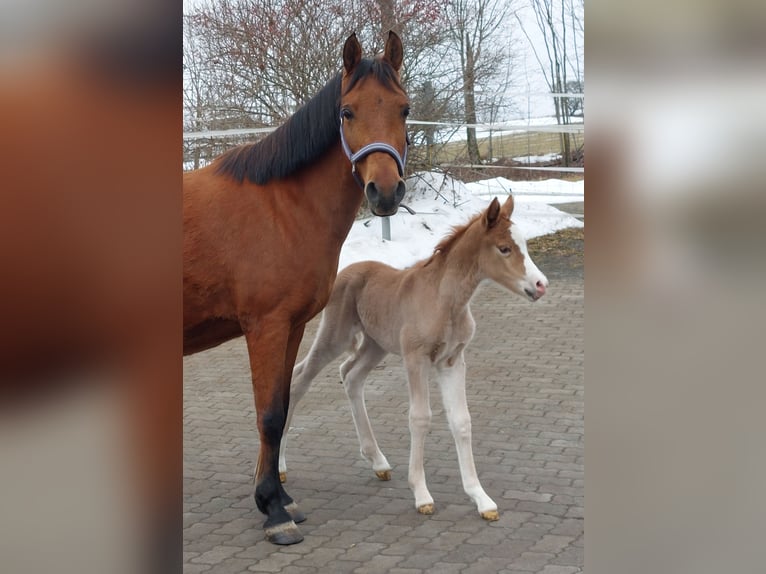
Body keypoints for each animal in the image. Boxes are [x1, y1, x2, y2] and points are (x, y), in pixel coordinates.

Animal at [183, 32, 410, 545]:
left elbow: (284, 406)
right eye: (347, 112)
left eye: (405, 109)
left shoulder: (293, 326)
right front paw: (273, 511)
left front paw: (281, 497)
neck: (281, 207)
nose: (385, 192)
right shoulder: (265, 327)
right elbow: (268, 414)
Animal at [279, 195, 548, 520]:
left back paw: (378, 461)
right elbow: (420, 418)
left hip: (376, 344)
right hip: (335, 335)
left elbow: (461, 420)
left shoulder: (452, 361)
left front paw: (481, 498)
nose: (541, 285)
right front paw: (422, 495)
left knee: (350, 375)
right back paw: (279, 467)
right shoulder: (415, 358)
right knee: (299, 378)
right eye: (504, 248)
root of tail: (346, 271)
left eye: (525, 245)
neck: (446, 301)